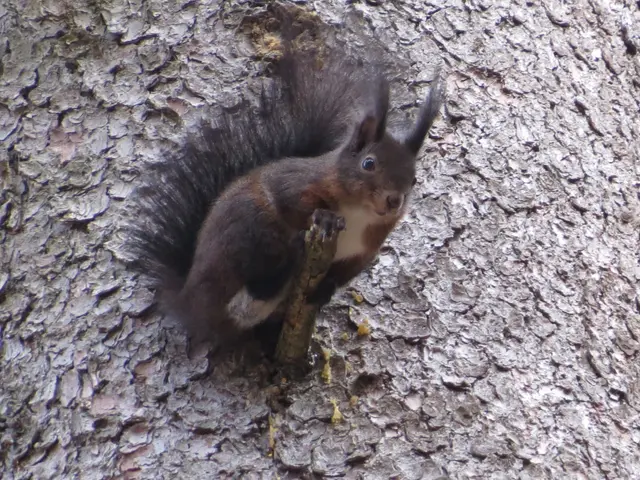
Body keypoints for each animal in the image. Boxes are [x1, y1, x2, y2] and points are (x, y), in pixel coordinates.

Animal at [127, 43, 444, 347]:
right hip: (248, 229)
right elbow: (295, 204)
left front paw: (325, 291)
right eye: (369, 164)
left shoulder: (362, 253)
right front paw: (324, 217)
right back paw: (289, 257)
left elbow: (341, 276)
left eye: (414, 180)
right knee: (249, 293)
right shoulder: (294, 185)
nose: (394, 201)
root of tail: (187, 301)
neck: (359, 214)